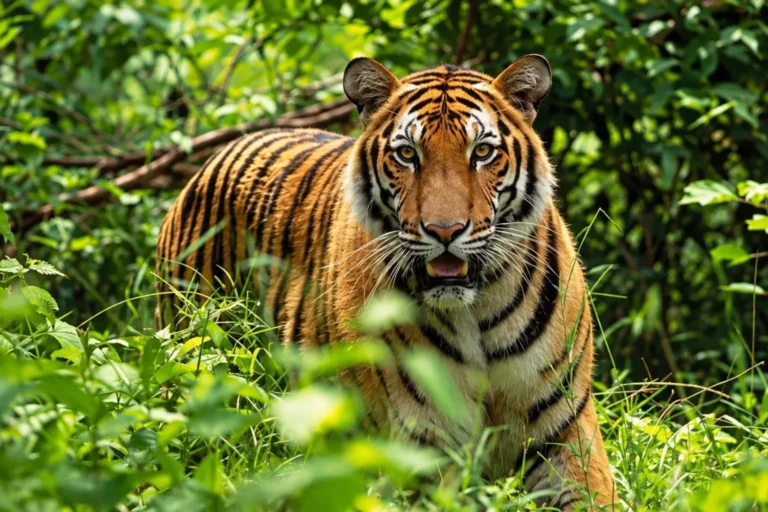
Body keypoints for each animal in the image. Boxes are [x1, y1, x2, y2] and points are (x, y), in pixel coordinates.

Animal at [156, 55, 616, 509]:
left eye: (483, 151)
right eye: (407, 154)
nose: (445, 231)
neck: (477, 313)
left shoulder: (568, 431)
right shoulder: (422, 445)